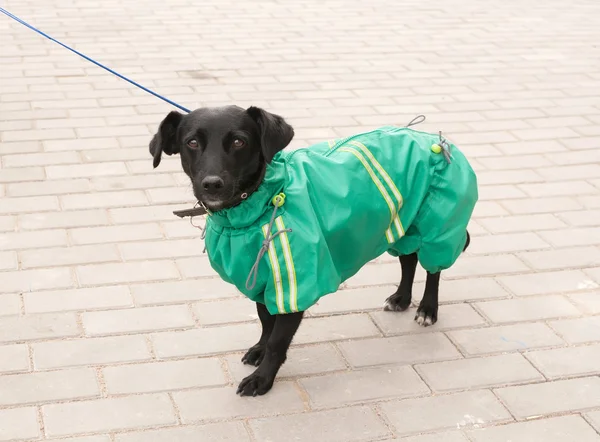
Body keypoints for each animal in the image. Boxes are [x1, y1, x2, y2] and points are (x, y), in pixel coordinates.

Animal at [149, 106, 474, 398]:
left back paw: (427, 308)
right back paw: (402, 298)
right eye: (191, 142)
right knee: (409, 259)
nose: (212, 184)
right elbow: (266, 322)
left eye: (239, 141)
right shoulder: (261, 279)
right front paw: (259, 350)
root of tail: (435, 139)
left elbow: (278, 340)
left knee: (433, 267)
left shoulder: (294, 286)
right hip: (402, 225)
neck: (262, 202)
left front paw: (262, 379)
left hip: (437, 225)